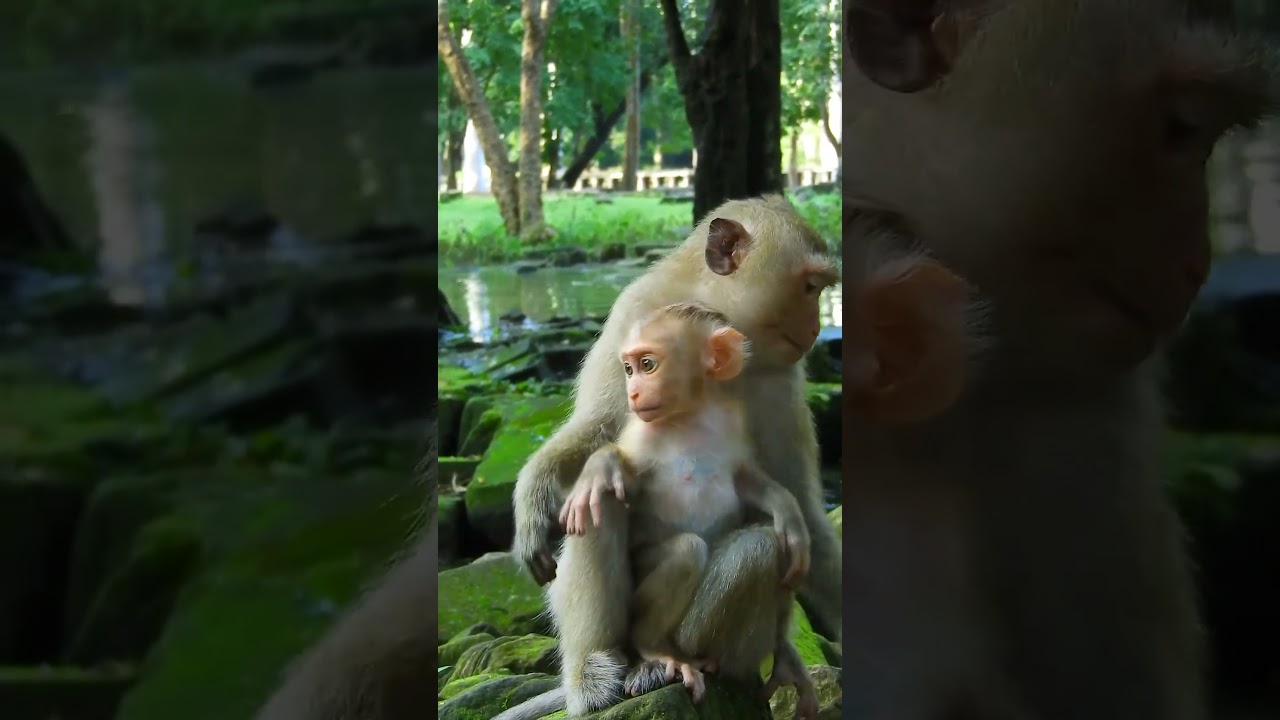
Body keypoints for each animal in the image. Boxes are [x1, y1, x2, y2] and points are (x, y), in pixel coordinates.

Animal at [508, 195, 842, 716]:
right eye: (809, 287)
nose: (816, 327)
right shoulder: (632, 314)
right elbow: (594, 432)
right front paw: (534, 499)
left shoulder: (782, 378)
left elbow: (802, 511)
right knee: (597, 500)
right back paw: (595, 672)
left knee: (761, 547)